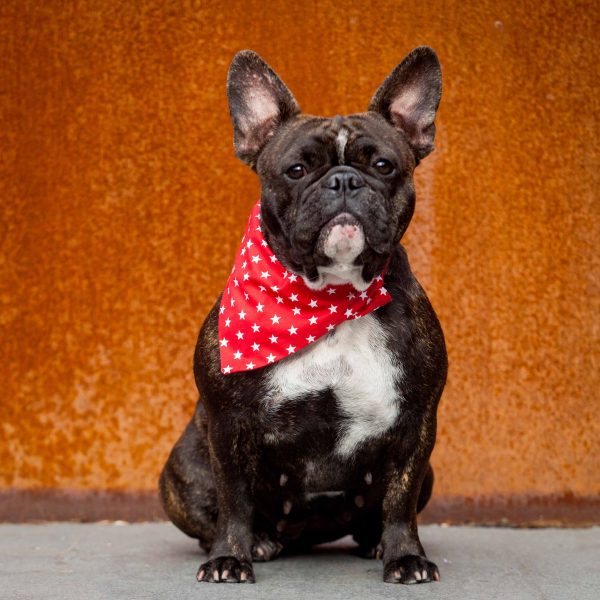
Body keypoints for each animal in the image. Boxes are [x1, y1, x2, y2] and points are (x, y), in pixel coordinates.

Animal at [159, 48, 446, 584]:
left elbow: (400, 501)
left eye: (383, 165)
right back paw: (257, 542)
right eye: (295, 170)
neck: (329, 296)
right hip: (182, 470)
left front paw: (405, 557)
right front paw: (230, 558)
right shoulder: (228, 426)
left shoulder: (417, 424)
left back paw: (374, 542)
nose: (344, 180)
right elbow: (234, 500)